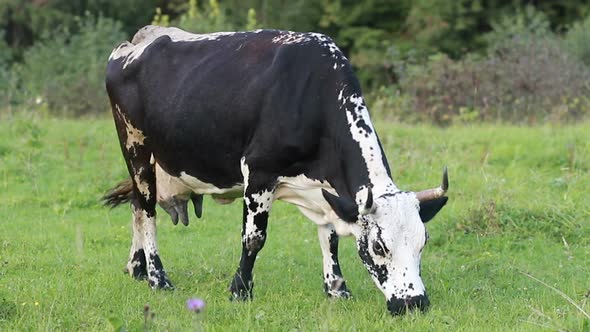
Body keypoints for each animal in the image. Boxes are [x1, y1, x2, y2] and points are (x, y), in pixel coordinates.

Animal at [104, 24, 450, 316]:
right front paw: (240, 290)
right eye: (379, 246)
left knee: (137, 205)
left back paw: (136, 268)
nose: (413, 303)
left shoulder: (326, 192)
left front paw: (337, 290)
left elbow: (330, 237)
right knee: (147, 209)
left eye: (423, 241)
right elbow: (253, 238)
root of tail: (137, 40)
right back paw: (157, 277)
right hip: (135, 147)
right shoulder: (258, 172)